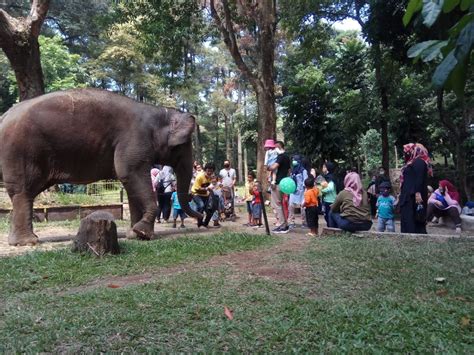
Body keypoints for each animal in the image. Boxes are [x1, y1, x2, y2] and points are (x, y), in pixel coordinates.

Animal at [0, 87, 202, 246]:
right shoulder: (134, 140)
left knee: (24, 193)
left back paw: (22, 240)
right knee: (23, 192)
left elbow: (130, 184)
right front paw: (143, 233)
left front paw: (134, 234)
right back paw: (27, 242)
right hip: (20, 151)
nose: (201, 220)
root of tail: (5, 115)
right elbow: (131, 175)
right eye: (184, 146)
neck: (158, 111)